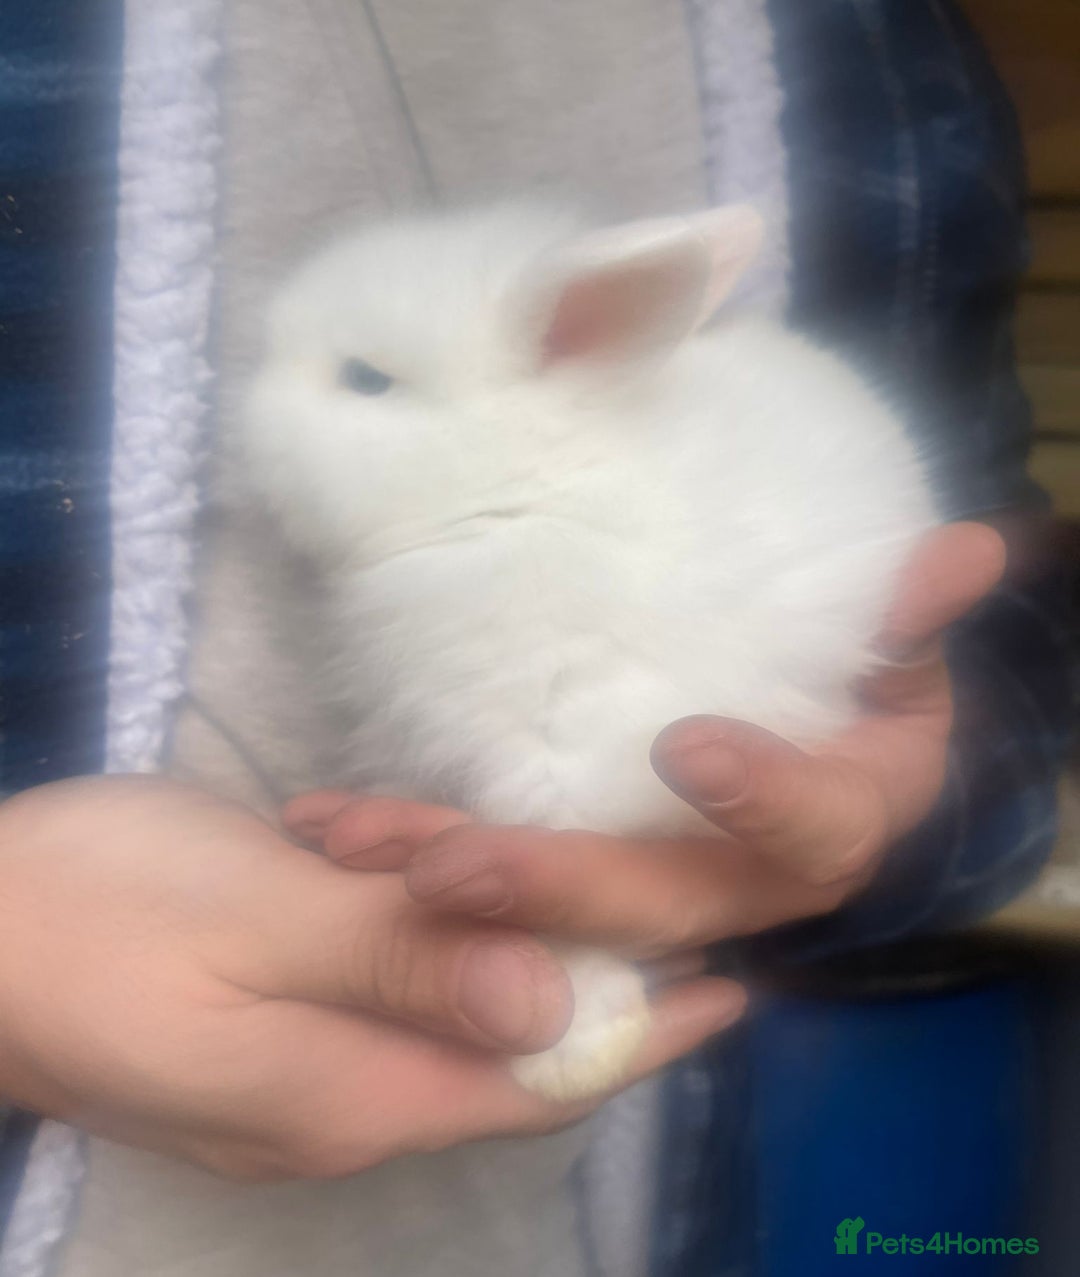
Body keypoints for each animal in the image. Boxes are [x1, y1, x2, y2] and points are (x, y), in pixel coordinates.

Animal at [240, 201, 936, 1101]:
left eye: (365, 379)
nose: (239, 421)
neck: (522, 495)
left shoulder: (569, 763)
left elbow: (566, 909)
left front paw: (569, 1051)